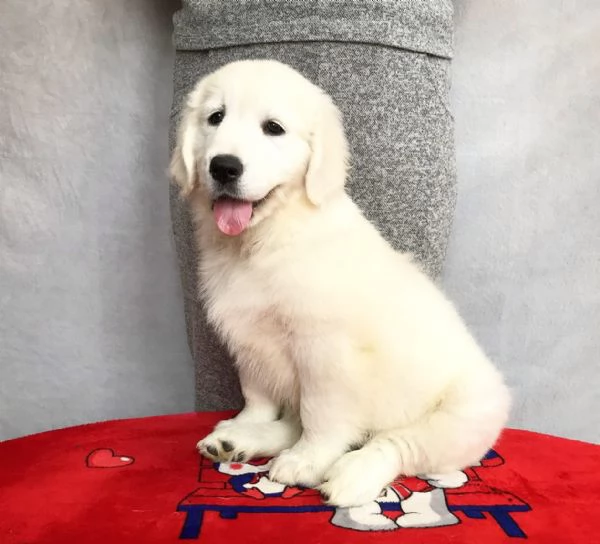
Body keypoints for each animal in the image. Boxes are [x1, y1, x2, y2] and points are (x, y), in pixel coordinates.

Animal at [169, 58, 510, 506]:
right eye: (215, 118)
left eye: (273, 128)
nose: (224, 166)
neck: (270, 239)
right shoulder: (248, 338)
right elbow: (258, 396)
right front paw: (247, 427)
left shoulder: (325, 350)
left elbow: (321, 413)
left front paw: (308, 461)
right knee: (293, 424)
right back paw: (239, 442)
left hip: (464, 414)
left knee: (397, 443)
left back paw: (353, 473)